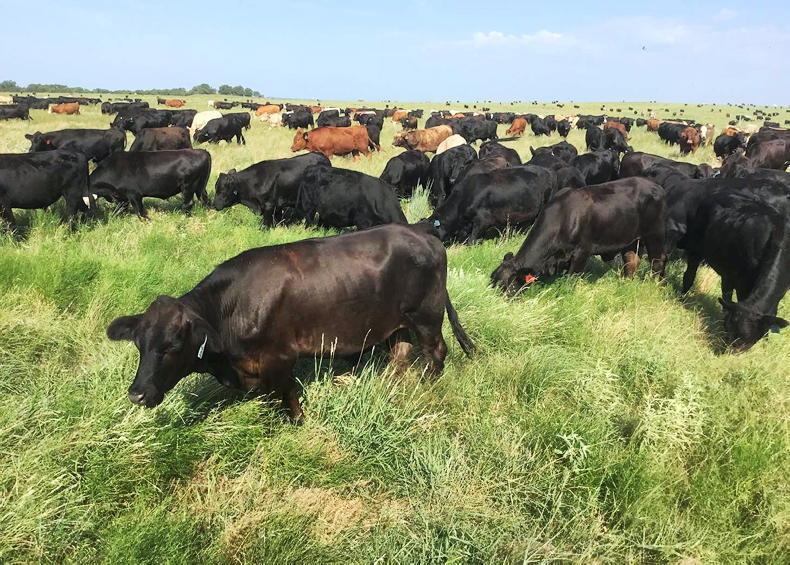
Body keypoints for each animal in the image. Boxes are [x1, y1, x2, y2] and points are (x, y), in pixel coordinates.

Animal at [106, 223, 476, 422]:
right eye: (139, 345)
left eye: (173, 345)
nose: (137, 394)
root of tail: (422, 233)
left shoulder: (280, 359)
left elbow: (285, 397)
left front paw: (297, 422)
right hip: (397, 324)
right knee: (399, 354)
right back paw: (391, 386)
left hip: (426, 316)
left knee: (436, 351)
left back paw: (428, 385)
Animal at [490, 177, 667, 293]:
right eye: (492, 282)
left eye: (507, 287)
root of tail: (657, 187)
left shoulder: (582, 252)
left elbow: (571, 279)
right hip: (630, 239)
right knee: (631, 261)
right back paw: (625, 284)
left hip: (655, 235)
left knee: (657, 262)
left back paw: (655, 286)